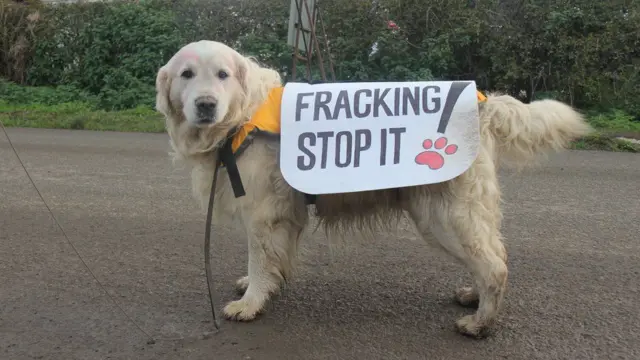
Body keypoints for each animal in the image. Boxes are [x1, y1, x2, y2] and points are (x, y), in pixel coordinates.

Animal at [154, 40, 592, 338]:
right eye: (187, 75)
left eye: (223, 75)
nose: (206, 105)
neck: (241, 119)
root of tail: (483, 101)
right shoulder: (282, 215)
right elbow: (274, 258)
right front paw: (262, 285)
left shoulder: (264, 213)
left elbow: (260, 259)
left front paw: (250, 303)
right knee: (488, 259)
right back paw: (473, 296)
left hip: (443, 216)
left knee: (495, 265)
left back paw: (479, 323)